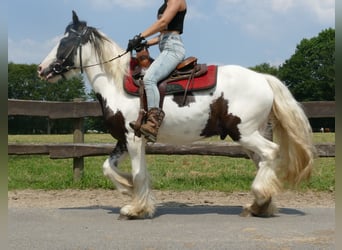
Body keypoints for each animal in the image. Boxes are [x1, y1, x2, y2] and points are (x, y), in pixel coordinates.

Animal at [37, 10, 316, 220]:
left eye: (64, 42)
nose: (41, 69)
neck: (116, 82)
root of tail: (264, 79)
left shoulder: (134, 139)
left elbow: (138, 173)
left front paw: (135, 208)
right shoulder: (124, 139)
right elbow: (109, 167)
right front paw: (128, 190)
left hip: (244, 132)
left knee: (271, 153)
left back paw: (259, 198)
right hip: (251, 135)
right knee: (263, 162)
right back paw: (260, 204)